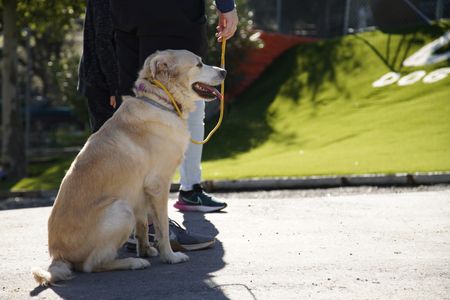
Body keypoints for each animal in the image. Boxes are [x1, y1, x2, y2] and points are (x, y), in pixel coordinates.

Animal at [32, 49, 225, 286]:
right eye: (199, 64)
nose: (224, 72)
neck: (160, 100)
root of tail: (57, 256)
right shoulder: (158, 185)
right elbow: (161, 227)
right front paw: (170, 256)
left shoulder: (141, 191)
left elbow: (143, 226)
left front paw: (146, 249)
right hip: (121, 210)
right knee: (90, 265)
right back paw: (133, 263)